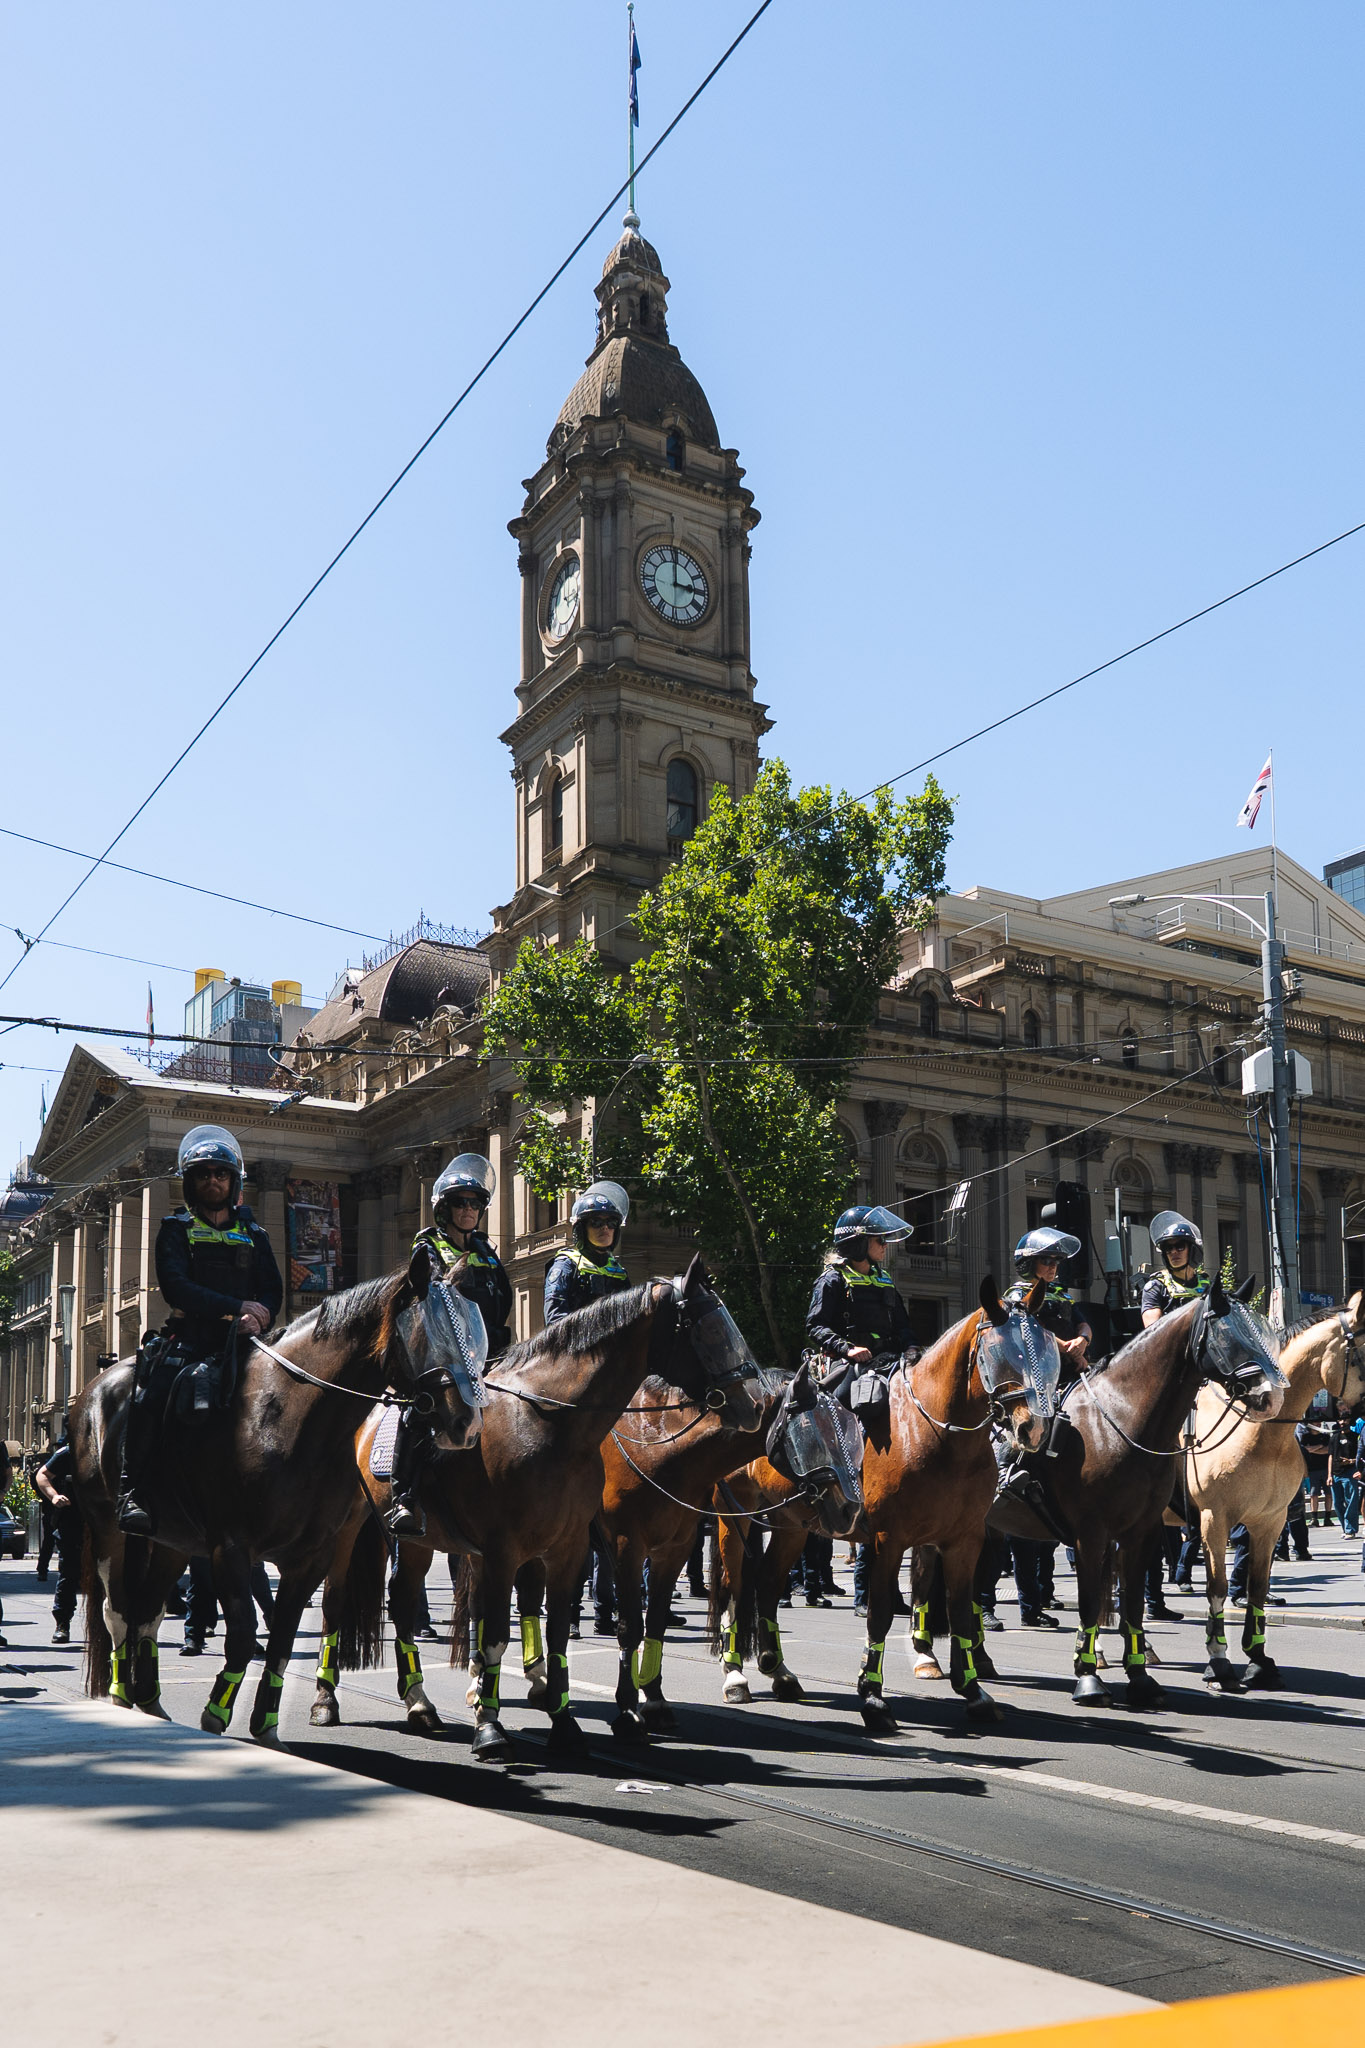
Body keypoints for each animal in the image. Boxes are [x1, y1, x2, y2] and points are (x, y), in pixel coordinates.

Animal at [70, 1270, 475, 1740]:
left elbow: (282, 1637)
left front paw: (265, 1724)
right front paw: (216, 1714)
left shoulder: (310, 1557)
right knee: (116, 1611)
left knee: (147, 1613)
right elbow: (245, 1634)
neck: (288, 1418)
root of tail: (94, 1388)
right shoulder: (231, 1549)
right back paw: (123, 1698)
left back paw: (150, 1701)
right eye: (425, 1330)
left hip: (172, 1541)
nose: (467, 1422)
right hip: (107, 1529)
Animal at [313, 1260, 765, 1761]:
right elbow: (504, 1634)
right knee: (339, 1601)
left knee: (407, 1598)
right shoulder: (536, 1549)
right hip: (352, 1530)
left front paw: (566, 1722)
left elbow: (567, 1632)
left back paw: (422, 1701)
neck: (553, 1425)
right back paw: (331, 1699)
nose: (753, 1405)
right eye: (709, 1328)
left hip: (425, 1542)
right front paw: (492, 1729)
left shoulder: (579, 1549)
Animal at [1037, 1279, 1286, 1708]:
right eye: (1229, 1334)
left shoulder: (1146, 1529)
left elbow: (1134, 1599)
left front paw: (1140, 1677)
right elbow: (1092, 1600)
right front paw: (1088, 1678)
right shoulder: (1093, 1531)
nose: (1271, 1397)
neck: (1120, 1418)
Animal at [1177, 1291, 1365, 1691]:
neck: (1261, 1432)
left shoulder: (1270, 1521)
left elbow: (1257, 1586)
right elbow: (1217, 1587)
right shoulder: (1214, 1520)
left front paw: (1259, 1661)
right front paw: (1218, 1664)